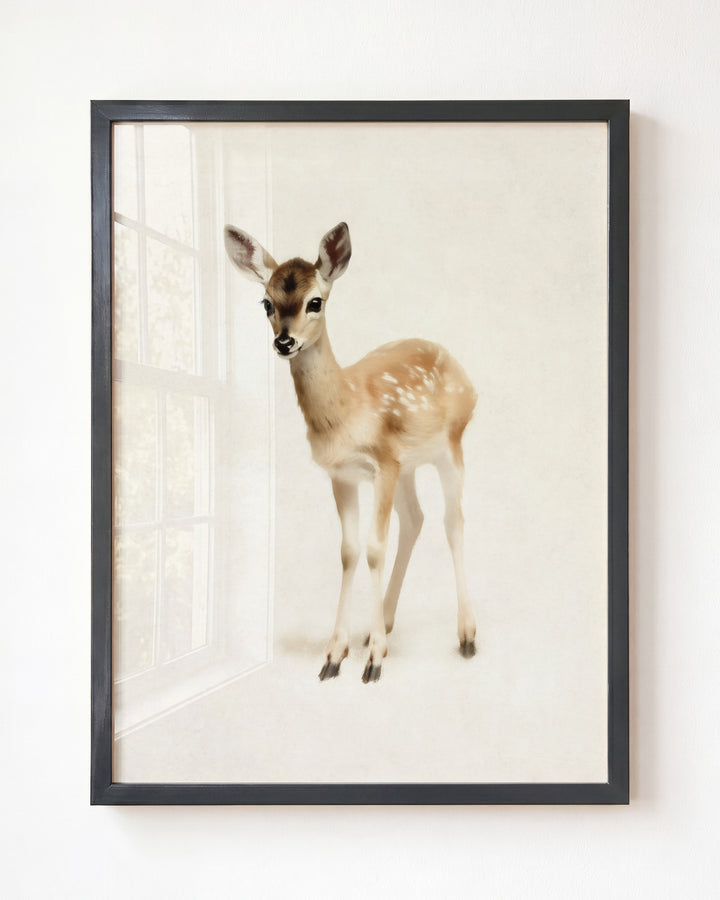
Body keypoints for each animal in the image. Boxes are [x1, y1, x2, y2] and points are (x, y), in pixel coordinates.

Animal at [224, 222, 477, 683]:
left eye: (315, 301)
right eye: (266, 302)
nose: (284, 342)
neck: (346, 413)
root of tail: (464, 373)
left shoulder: (383, 463)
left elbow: (375, 548)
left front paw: (374, 661)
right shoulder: (343, 474)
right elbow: (349, 551)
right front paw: (335, 654)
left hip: (450, 445)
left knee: (453, 520)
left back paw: (466, 635)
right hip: (409, 465)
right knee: (416, 519)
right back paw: (384, 624)